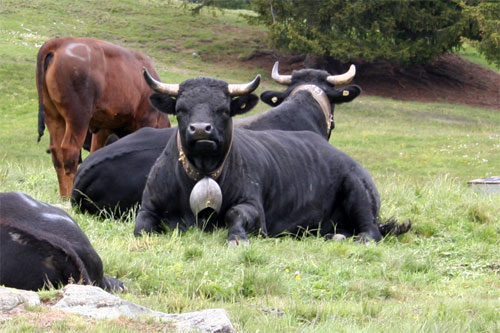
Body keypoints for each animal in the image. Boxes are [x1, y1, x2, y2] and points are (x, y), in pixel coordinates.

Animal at [36, 37, 171, 197]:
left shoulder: (103, 128)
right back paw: (69, 195)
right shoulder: (146, 120)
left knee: (56, 153)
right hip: (78, 118)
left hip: (54, 117)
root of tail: (61, 42)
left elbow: (96, 151)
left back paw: (63, 195)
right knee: (70, 150)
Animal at [134, 70, 410, 243]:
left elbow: (235, 214)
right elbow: (142, 227)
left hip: (357, 189)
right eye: (181, 109)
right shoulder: (148, 207)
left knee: (370, 232)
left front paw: (237, 239)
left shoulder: (254, 207)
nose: (201, 129)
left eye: (224, 109)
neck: (202, 173)